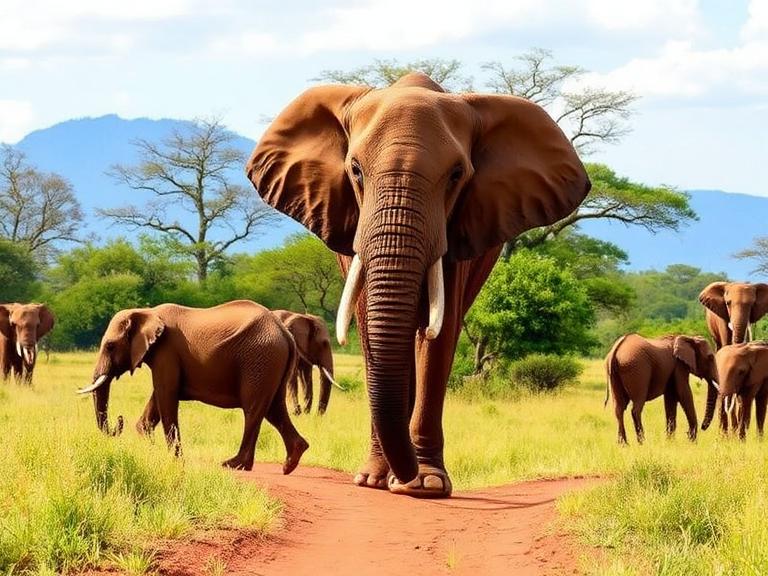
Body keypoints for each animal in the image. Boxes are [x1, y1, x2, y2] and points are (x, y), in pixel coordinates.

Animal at [78, 300, 309, 473]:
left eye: (110, 346)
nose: (119, 420)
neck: (147, 312)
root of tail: (285, 333)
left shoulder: (166, 351)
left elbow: (166, 395)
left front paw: (176, 461)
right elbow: (158, 397)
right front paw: (149, 446)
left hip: (260, 360)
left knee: (253, 409)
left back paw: (233, 465)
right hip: (270, 363)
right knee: (274, 408)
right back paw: (290, 463)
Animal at [246, 73, 590, 497]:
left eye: (457, 175)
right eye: (355, 170)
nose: (403, 475)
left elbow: (439, 334)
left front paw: (425, 484)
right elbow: (369, 322)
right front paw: (373, 480)